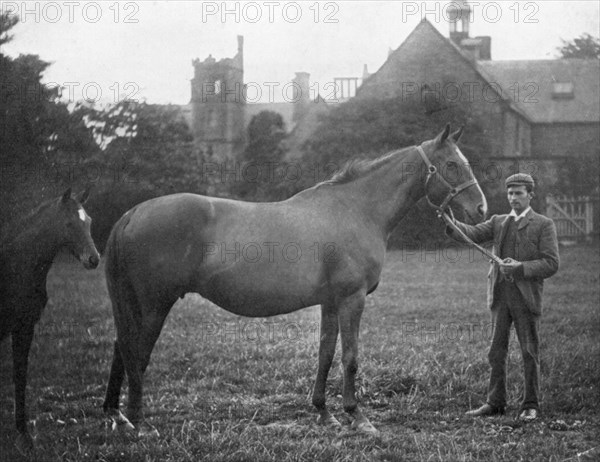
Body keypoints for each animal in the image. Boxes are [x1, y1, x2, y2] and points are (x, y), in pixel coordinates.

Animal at [103, 125, 488, 434]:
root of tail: (133, 213)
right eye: (452, 165)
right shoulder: (352, 298)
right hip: (155, 305)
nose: (481, 209)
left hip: (135, 305)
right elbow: (350, 357)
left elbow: (325, 354)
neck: (356, 210)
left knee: (122, 346)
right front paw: (358, 417)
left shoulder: (331, 302)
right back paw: (139, 423)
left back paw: (116, 415)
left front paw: (325, 413)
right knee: (136, 352)